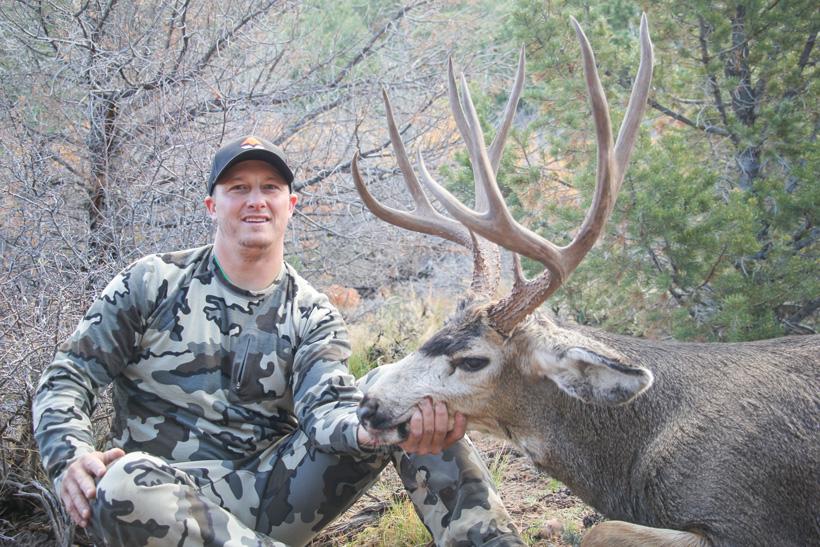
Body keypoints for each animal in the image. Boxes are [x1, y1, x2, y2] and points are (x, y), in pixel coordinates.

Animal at [351, 15, 820, 547]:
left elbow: (602, 530)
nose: (368, 405)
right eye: (433, 333)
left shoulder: (753, 518)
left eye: (473, 360)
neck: (634, 460)